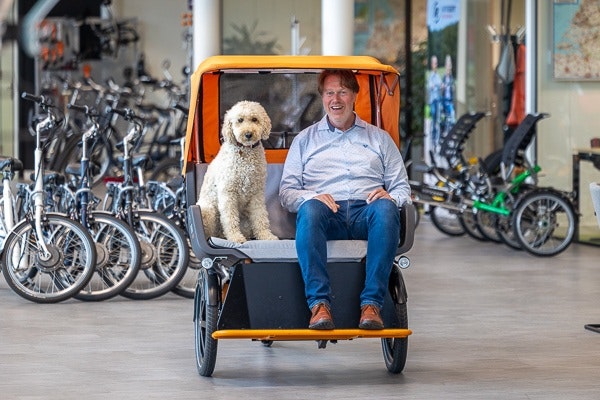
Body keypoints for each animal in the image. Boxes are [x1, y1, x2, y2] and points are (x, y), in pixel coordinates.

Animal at [199, 100, 278, 244]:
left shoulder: (257, 194)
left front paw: (266, 236)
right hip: (208, 212)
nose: (248, 134)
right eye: (240, 120)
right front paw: (235, 237)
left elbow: (260, 216)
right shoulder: (228, 192)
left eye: (254, 119)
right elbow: (230, 218)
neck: (245, 152)